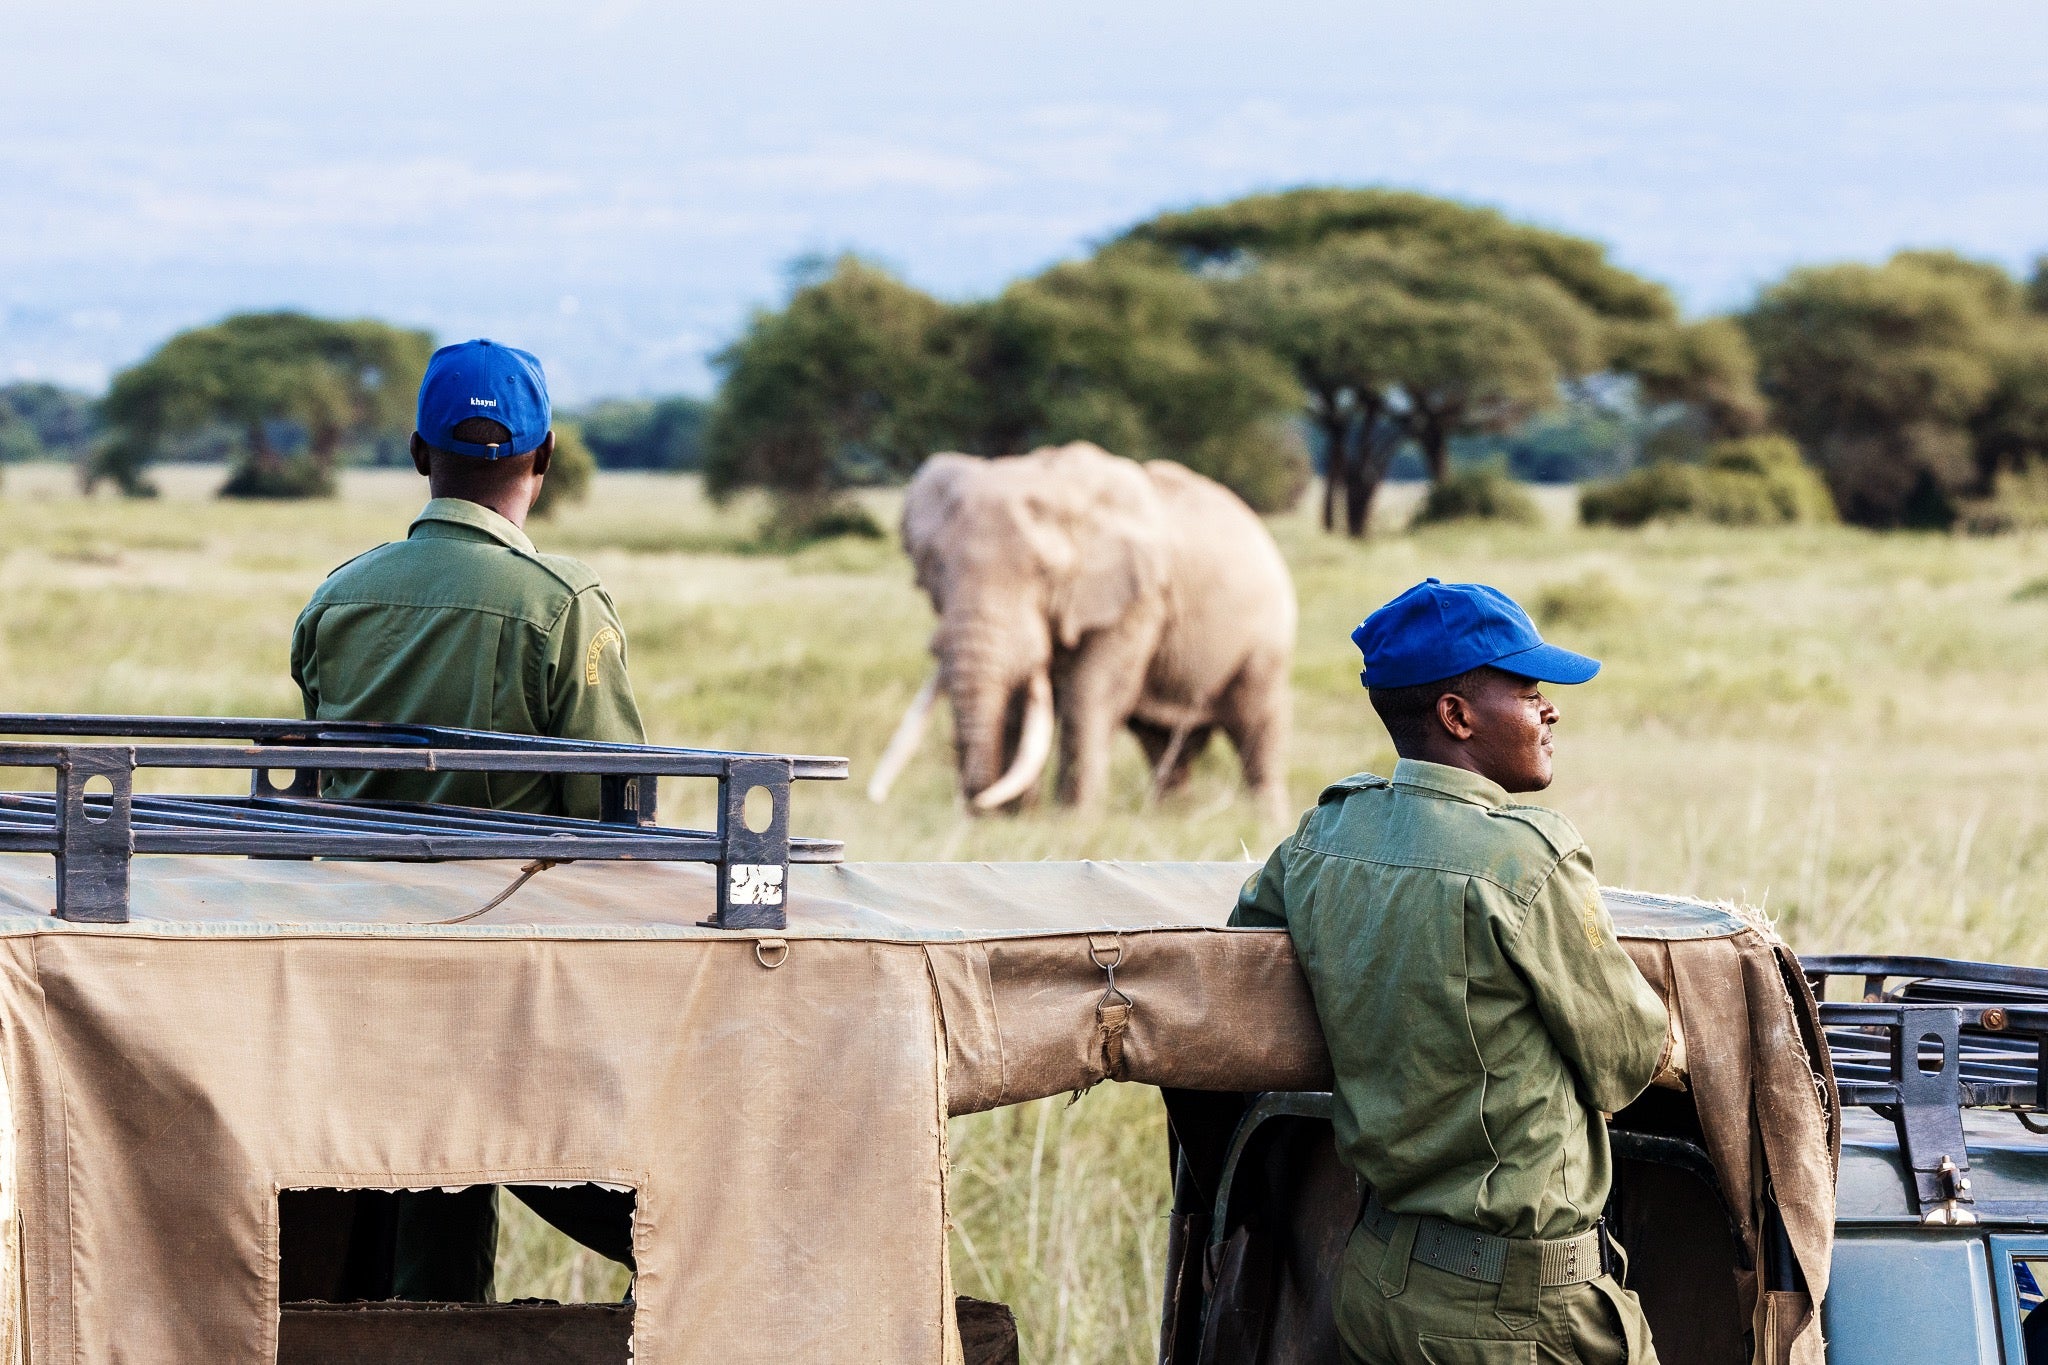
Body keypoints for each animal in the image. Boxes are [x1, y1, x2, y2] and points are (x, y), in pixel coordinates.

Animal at [868, 441, 1296, 820]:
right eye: (935, 566)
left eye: (1045, 572)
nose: (976, 807)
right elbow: (1017, 703)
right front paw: (1014, 820)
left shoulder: (1138, 599)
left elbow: (1090, 695)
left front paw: (1070, 822)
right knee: (1165, 745)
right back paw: (1170, 817)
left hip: (1268, 638)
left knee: (1257, 728)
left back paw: (1266, 822)